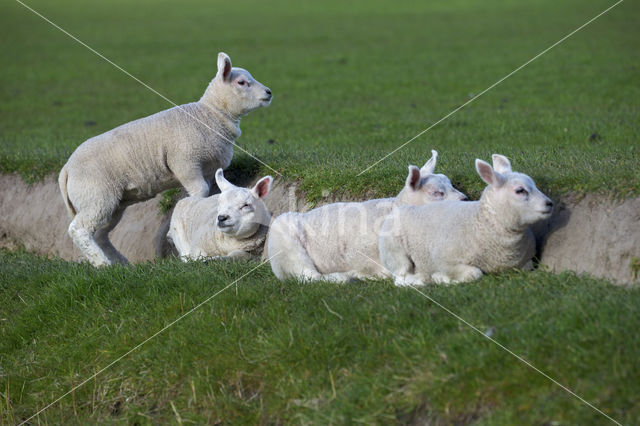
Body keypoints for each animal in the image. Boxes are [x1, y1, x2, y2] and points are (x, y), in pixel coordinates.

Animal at [57, 52, 272, 266]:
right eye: (242, 82)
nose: (269, 92)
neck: (209, 116)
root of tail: (66, 169)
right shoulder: (186, 163)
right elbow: (199, 191)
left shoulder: (209, 171)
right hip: (96, 196)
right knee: (79, 230)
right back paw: (102, 264)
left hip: (112, 203)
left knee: (100, 234)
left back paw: (121, 264)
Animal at [378, 154, 552, 286]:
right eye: (520, 190)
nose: (549, 203)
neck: (481, 223)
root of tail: (401, 207)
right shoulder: (443, 260)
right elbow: (474, 273)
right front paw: (441, 278)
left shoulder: (526, 262)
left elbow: (527, 267)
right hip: (394, 253)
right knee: (401, 277)